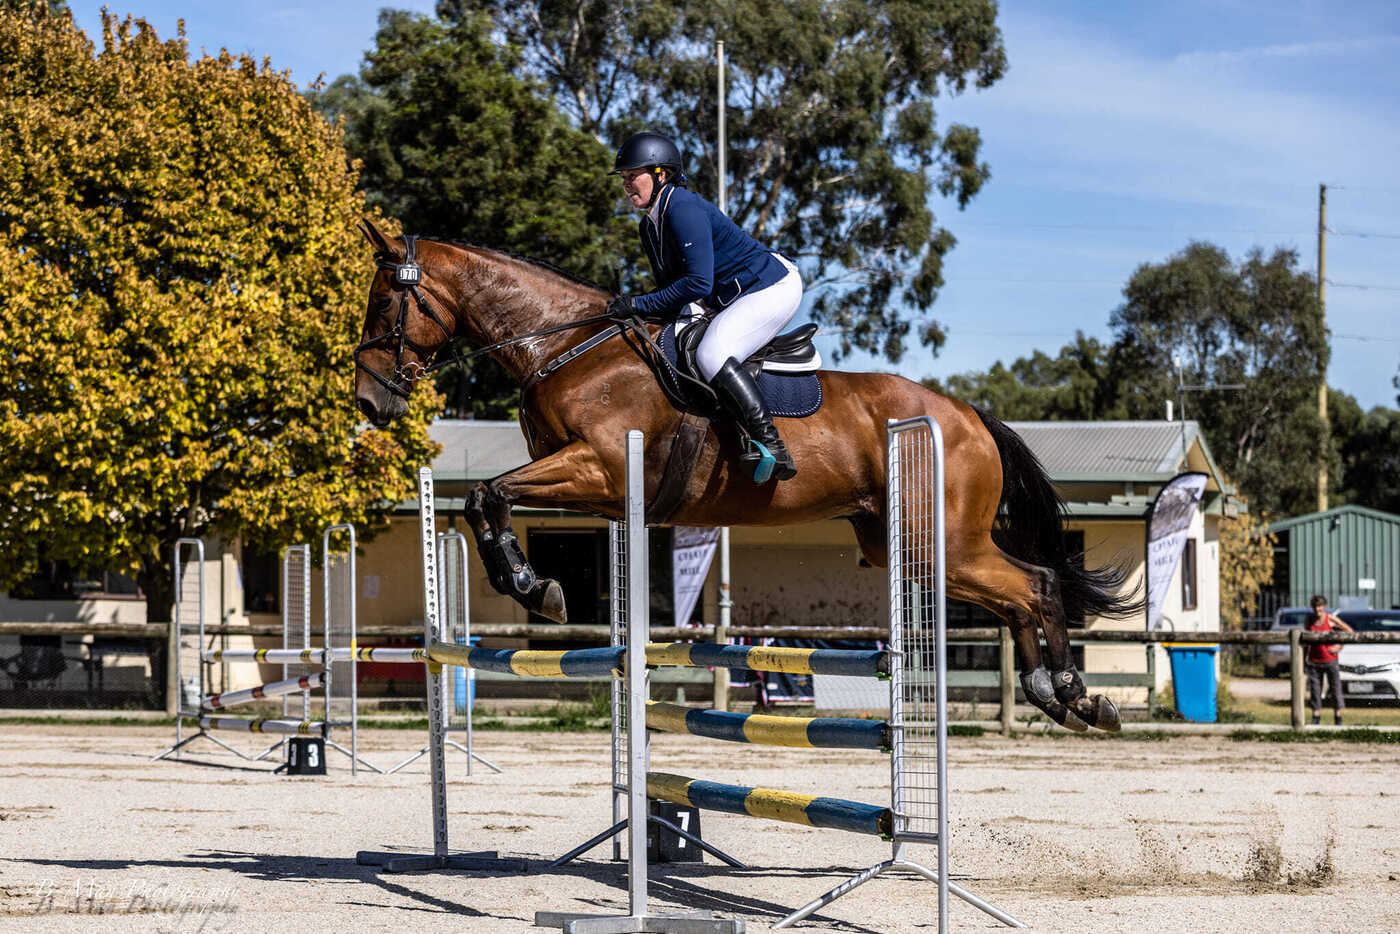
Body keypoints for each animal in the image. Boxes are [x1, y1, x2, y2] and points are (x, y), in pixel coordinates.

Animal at [352, 219, 1139, 733]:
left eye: (385, 301)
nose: (368, 400)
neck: (567, 348)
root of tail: (970, 415)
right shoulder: (588, 486)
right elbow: (486, 499)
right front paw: (529, 581)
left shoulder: (597, 467)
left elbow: (488, 492)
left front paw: (532, 586)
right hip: (903, 544)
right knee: (1020, 594)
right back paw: (1058, 696)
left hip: (935, 536)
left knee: (1036, 585)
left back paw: (1073, 691)